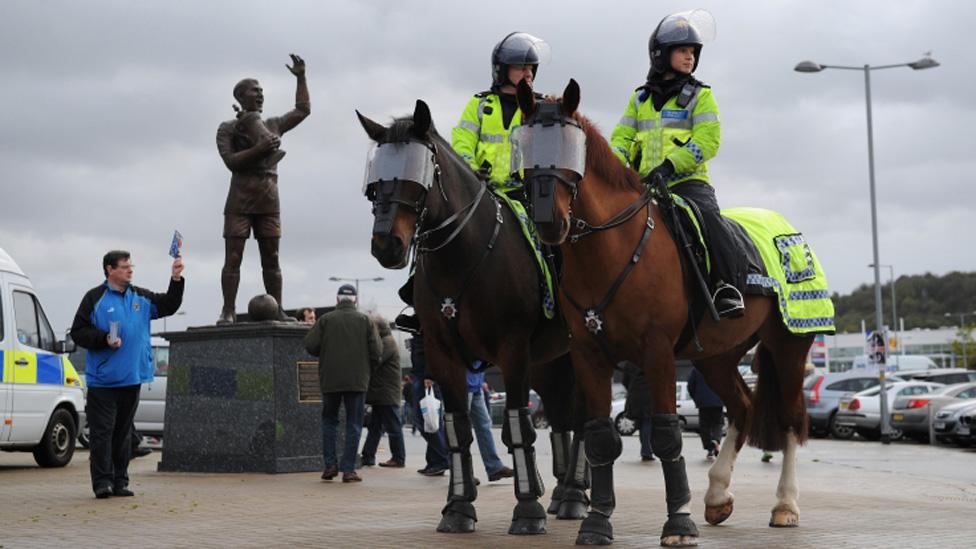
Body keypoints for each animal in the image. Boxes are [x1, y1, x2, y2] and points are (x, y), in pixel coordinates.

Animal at [356, 101, 588, 536]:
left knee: (583, 417)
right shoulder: (442, 354)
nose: (386, 244)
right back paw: (564, 490)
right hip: (549, 362)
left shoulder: (513, 352)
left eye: (419, 174)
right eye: (375, 181)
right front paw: (459, 506)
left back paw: (576, 495)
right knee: (562, 416)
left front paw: (527, 508)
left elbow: (517, 424)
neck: (466, 257)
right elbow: (457, 426)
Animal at [516, 79, 828, 544]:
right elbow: (600, 436)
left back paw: (785, 505)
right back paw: (717, 497)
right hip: (717, 357)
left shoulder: (657, 351)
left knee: (790, 420)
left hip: (788, 346)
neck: (615, 250)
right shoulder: (589, 355)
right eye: (523, 144)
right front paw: (596, 521)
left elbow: (666, 433)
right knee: (743, 408)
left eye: (572, 147)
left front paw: (678, 522)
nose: (549, 222)